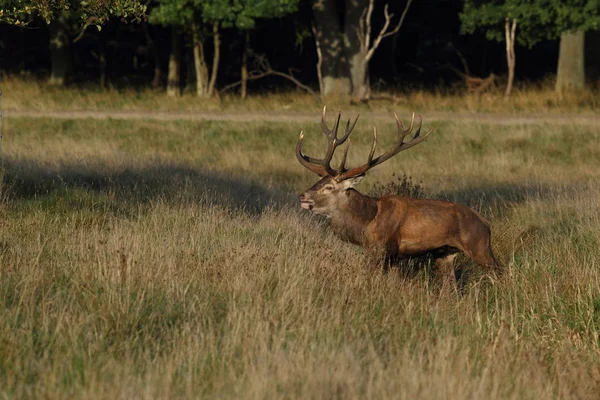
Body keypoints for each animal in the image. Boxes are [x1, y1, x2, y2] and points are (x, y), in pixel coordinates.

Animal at [296, 108, 502, 282]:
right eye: (319, 181)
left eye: (329, 187)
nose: (302, 195)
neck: (366, 222)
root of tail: (486, 223)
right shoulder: (394, 256)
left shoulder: (382, 249)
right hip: (444, 253)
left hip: (479, 246)